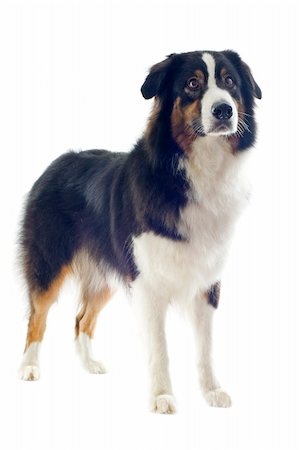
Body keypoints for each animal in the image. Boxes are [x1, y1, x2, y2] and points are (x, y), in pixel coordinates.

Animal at [18, 51, 262, 414]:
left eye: (229, 81)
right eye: (192, 83)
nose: (224, 110)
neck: (197, 169)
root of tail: (56, 163)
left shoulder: (207, 280)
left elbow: (206, 346)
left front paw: (212, 391)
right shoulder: (148, 283)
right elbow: (159, 347)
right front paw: (162, 397)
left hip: (107, 274)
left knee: (81, 319)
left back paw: (90, 364)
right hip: (50, 261)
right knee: (38, 315)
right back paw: (29, 367)